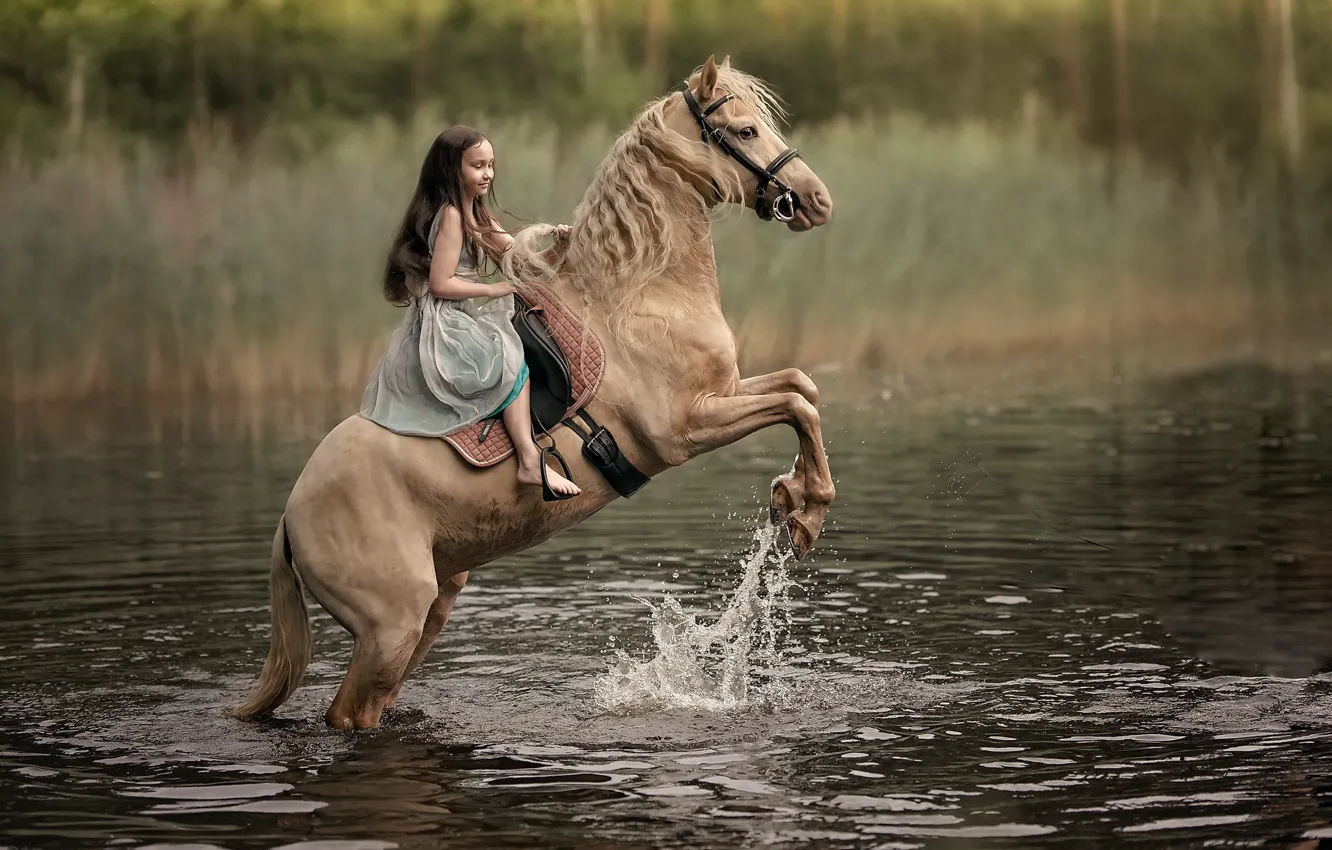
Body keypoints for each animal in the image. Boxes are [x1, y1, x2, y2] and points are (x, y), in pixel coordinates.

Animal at [228, 56, 836, 730]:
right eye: (746, 130)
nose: (816, 199)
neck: (639, 294)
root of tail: (291, 518)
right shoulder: (686, 427)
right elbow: (795, 404)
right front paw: (805, 510)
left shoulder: (725, 391)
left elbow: (801, 387)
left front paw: (790, 500)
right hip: (391, 626)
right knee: (348, 715)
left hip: (430, 609)